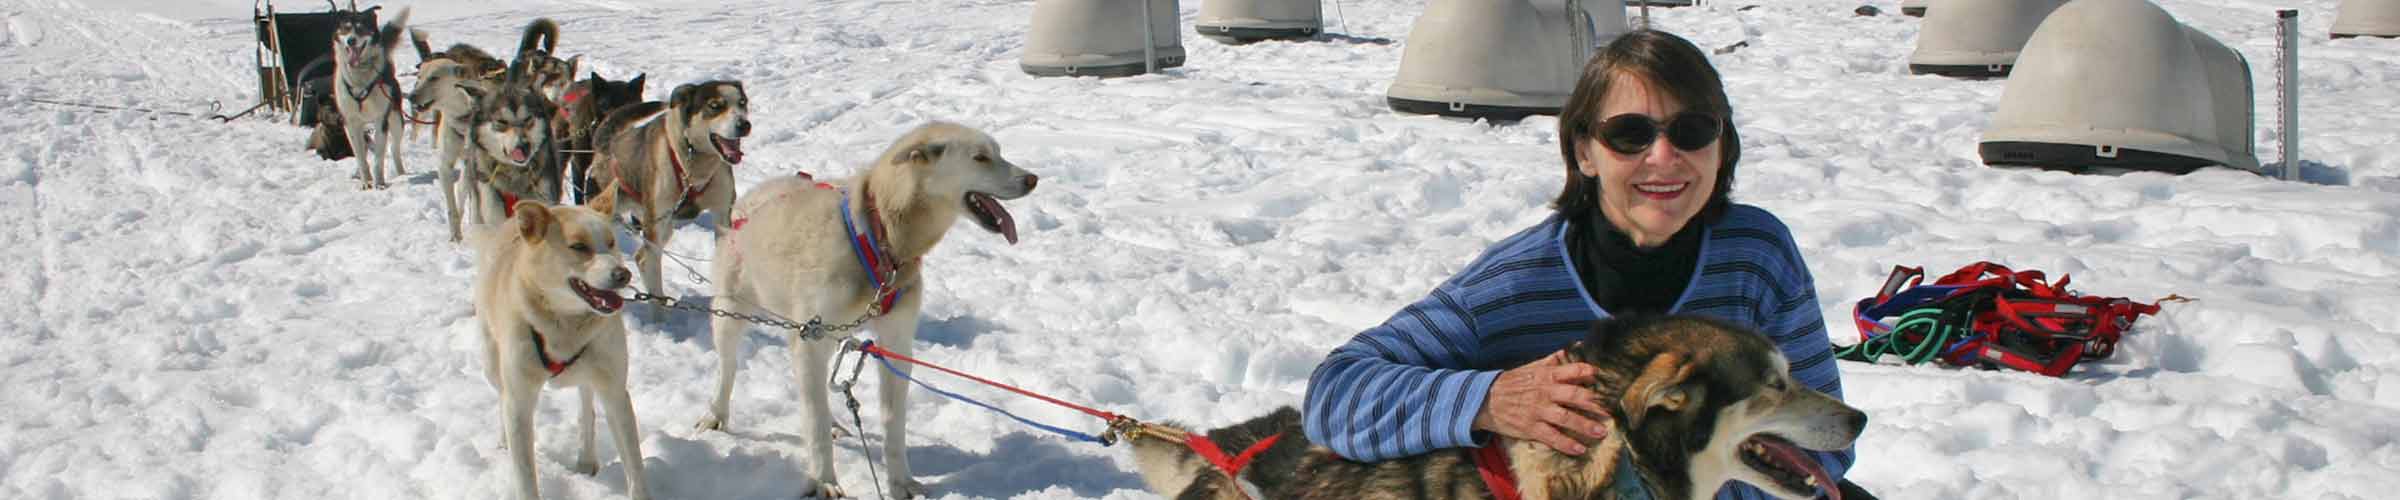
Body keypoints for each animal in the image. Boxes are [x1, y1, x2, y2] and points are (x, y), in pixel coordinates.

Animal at [470, 181, 648, 500]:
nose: (623, 274)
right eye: (579, 246)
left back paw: (586, 457)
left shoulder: (615, 392)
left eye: (611, 242)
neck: (565, 327)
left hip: (592, 371)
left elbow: (634, 466)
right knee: (501, 396)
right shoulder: (519, 400)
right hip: (492, 365)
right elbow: (525, 476)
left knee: (586, 406)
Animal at [691, 121, 1036, 500]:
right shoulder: (811, 339)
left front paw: (900, 482)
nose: (1032, 179)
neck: (879, 236)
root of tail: (752, 200)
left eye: (999, 152)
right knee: (730, 369)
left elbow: (892, 423)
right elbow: (814, 426)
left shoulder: (895, 343)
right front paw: (824, 480)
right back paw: (716, 413)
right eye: (981, 157)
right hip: (731, 315)